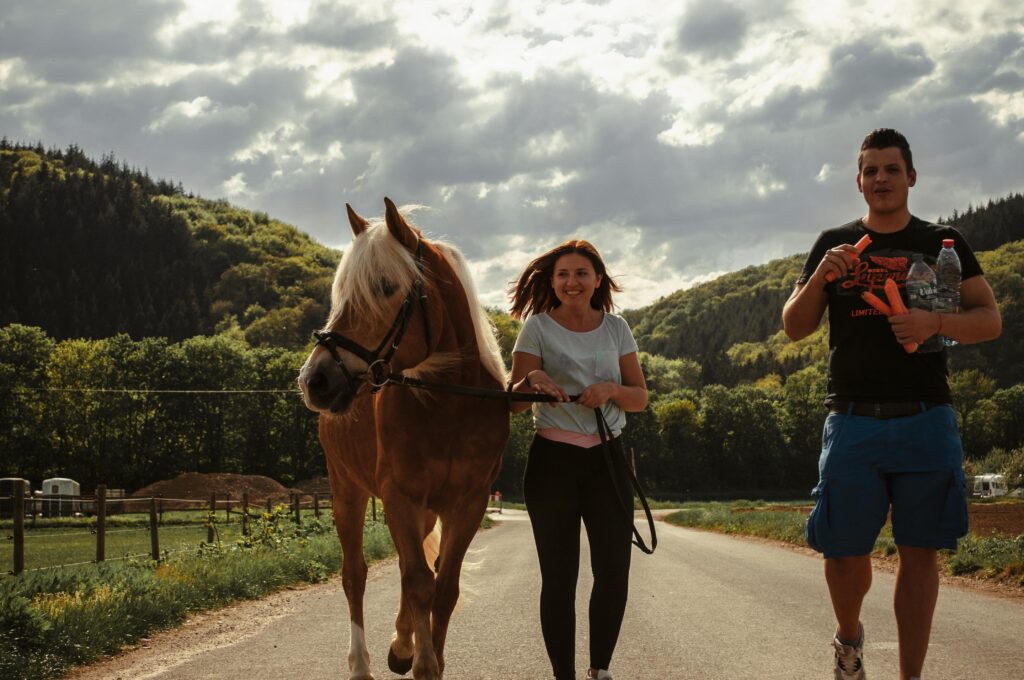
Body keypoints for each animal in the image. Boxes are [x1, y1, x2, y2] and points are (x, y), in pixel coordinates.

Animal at [296, 197, 507, 680]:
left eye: (386, 286)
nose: (315, 380)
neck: (449, 407)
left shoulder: (467, 504)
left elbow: (442, 588)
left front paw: (428, 656)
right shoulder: (399, 497)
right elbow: (417, 583)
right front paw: (425, 662)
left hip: (423, 511)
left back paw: (401, 643)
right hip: (346, 491)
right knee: (355, 574)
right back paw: (362, 663)